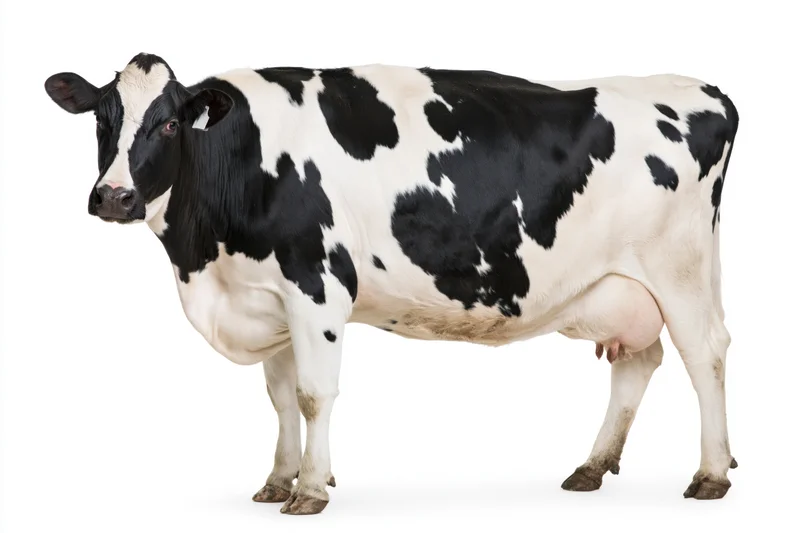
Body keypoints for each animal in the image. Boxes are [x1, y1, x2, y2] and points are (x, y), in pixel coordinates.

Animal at [43, 52, 739, 515]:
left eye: (167, 124)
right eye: (103, 119)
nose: (114, 197)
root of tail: (698, 87)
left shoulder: (317, 285)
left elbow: (314, 395)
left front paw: (311, 489)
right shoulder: (268, 297)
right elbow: (280, 396)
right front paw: (278, 481)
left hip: (679, 269)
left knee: (705, 354)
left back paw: (710, 474)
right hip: (623, 285)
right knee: (639, 361)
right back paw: (592, 466)